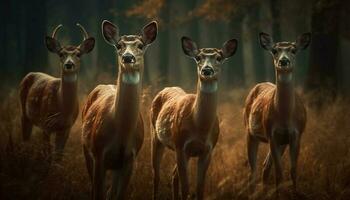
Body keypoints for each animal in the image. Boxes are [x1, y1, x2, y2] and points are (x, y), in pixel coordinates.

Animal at [18, 23, 95, 160]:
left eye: (78, 54)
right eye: (61, 54)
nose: (69, 64)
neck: (62, 106)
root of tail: (30, 73)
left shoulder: (67, 127)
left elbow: (58, 156)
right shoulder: (46, 123)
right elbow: (47, 154)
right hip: (24, 113)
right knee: (25, 139)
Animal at [80, 19, 157, 199]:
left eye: (141, 45)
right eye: (119, 45)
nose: (128, 57)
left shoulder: (130, 159)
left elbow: (117, 195)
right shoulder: (98, 154)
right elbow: (98, 193)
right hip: (86, 149)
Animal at [151, 36, 238, 200]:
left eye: (219, 57)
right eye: (198, 57)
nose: (207, 70)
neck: (199, 127)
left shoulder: (207, 150)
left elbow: (199, 188)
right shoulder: (180, 146)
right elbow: (186, 187)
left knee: (173, 176)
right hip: (156, 136)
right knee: (156, 175)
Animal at [245, 32, 310, 196]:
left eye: (293, 50)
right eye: (274, 50)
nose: (283, 61)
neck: (285, 117)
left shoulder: (296, 134)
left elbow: (293, 171)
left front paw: (295, 193)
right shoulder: (271, 134)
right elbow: (279, 172)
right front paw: (279, 194)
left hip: (281, 142)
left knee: (265, 167)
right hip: (250, 132)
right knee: (253, 171)